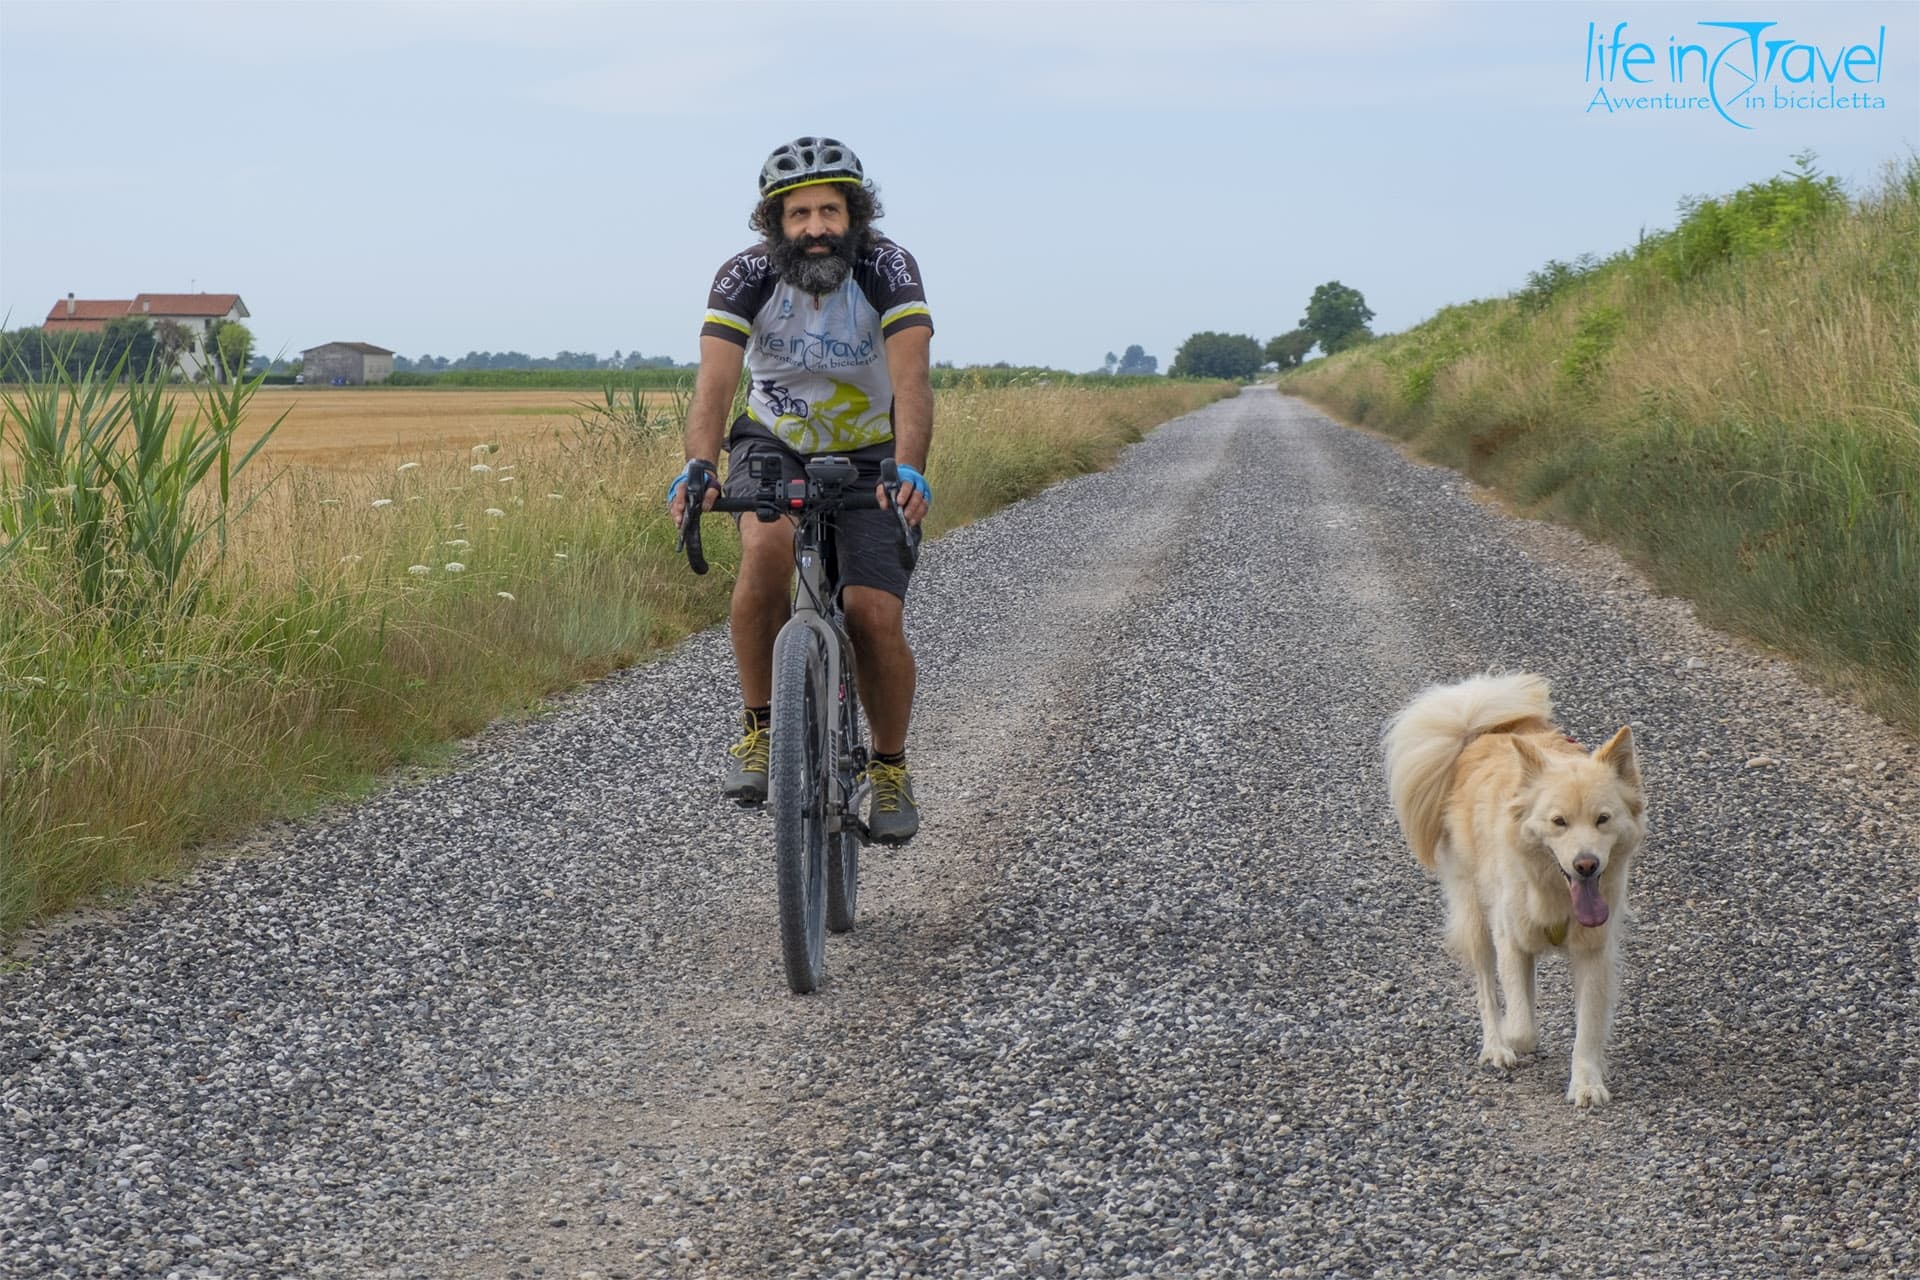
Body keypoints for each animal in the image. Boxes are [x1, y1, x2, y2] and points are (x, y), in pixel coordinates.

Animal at [1390, 675, 1643, 1105]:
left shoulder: (1593, 952)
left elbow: (1588, 1026)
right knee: (1487, 990)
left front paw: (1586, 1083)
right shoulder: (1509, 939)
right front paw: (1512, 1036)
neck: (1555, 893)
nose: (1586, 864)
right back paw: (1496, 1045)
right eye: (1559, 821)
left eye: (1603, 819)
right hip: (1476, 919)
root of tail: (1477, 735)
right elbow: (1522, 1026)